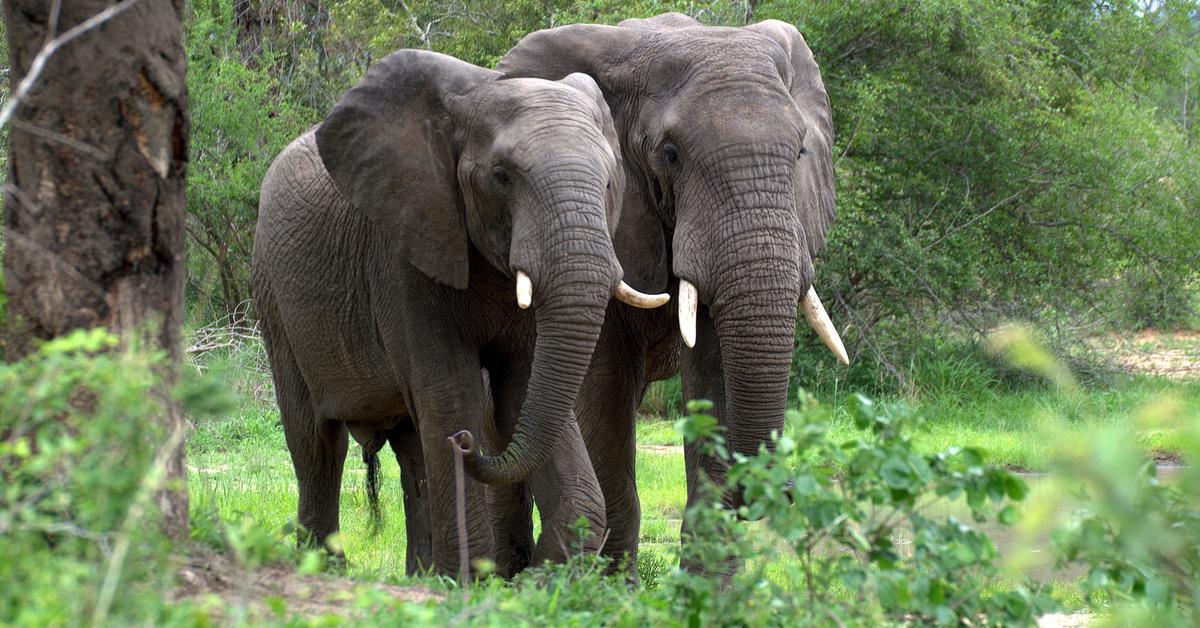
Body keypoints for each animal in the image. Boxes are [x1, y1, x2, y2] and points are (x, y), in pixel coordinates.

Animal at [249, 49, 672, 581]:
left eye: (611, 181)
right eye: (502, 176)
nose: (469, 444)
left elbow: (524, 392)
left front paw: (535, 576)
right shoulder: (403, 253)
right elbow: (452, 393)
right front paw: (470, 583)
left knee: (411, 449)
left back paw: (421, 574)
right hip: (274, 296)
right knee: (317, 443)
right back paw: (326, 570)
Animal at [463, 13, 849, 581]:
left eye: (800, 151)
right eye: (671, 155)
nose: (785, 488)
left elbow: (713, 370)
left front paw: (708, 589)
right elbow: (602, 388)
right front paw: (610, 589)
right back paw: (505, 574)